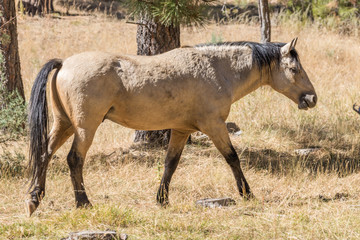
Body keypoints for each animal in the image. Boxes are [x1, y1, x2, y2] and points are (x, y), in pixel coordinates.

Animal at [26, 37, 318, 216]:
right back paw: (83, 202)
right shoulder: (214, 126)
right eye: (294, 69)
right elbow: (232, 158)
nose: (312, 98)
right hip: (86, 127)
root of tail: (64, 63)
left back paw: (34, 199)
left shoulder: (181, 130)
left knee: (44, 154)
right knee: (74, 159)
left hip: (64, 125)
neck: (216, 69)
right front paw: (247, 193)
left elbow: (170, 164)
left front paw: (162, 199)